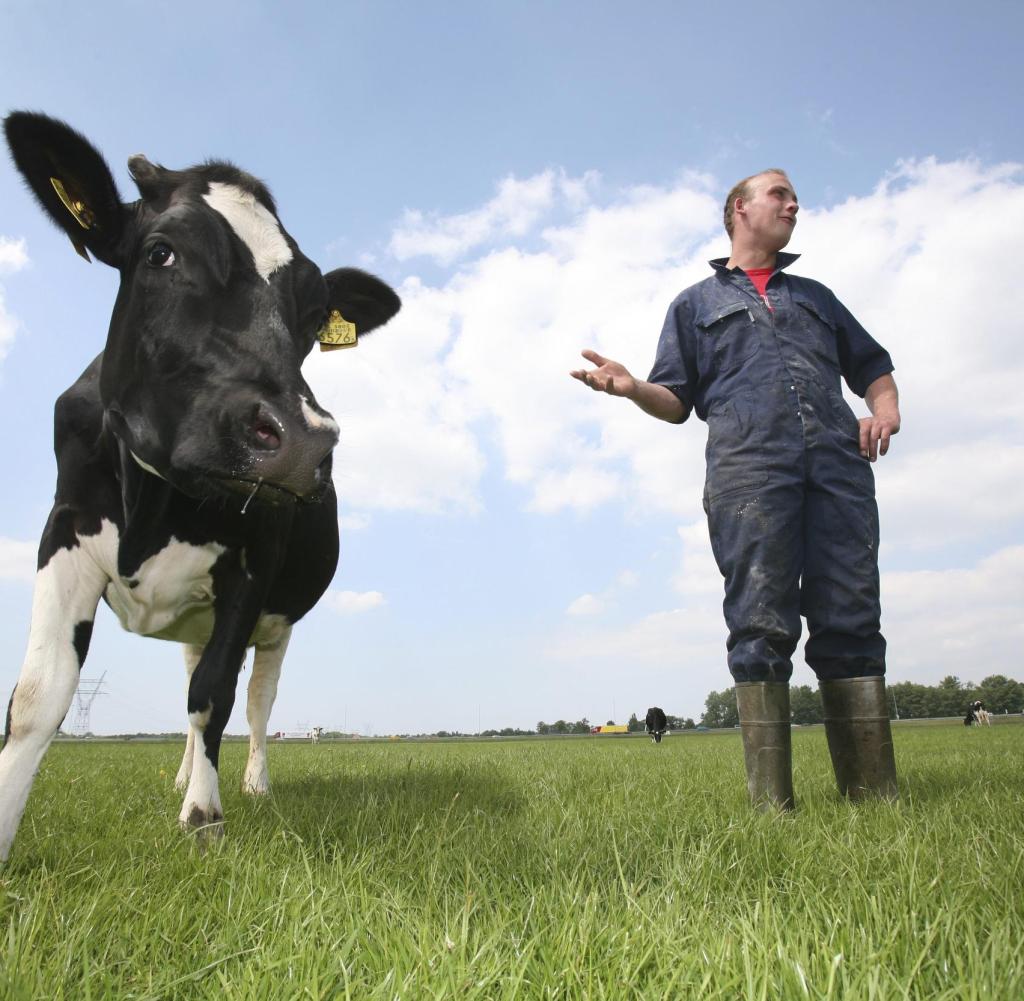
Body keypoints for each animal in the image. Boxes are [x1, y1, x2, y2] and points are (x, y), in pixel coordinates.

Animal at [0, 111, 399, 859]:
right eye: (161, 253)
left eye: (314, 311)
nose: (302, 440)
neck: (155, 504)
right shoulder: (63, 530)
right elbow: (39, 693)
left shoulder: (254, 559)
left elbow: (216, 694)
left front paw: (204, 814)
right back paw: (187, 771)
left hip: (275, 623)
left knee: (256, 699)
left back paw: (249, 784)